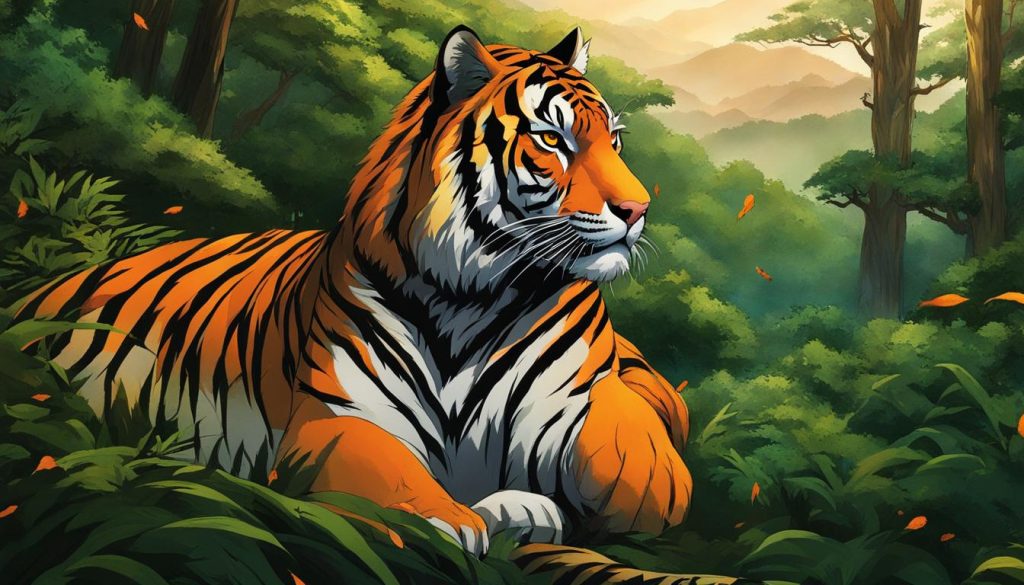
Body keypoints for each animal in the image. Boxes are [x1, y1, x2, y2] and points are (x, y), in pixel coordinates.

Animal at [18, 26, 693, 559]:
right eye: (554, 140)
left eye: (614, 140)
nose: (639, 209)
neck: (475, 299)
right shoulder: (336, 417)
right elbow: (392, 473)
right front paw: (453, 517)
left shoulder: (584, 397)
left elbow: (636, 455)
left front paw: (572, 495)